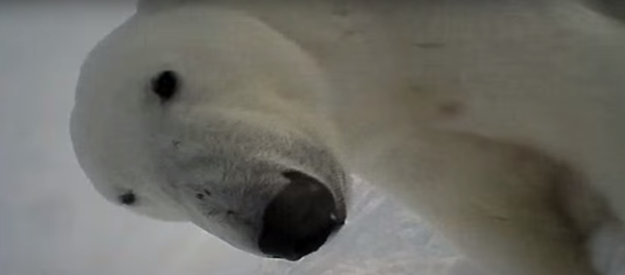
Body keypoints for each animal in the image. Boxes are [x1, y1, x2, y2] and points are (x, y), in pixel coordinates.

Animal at [70, 0, 624, 275]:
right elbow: (505, 222)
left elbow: (585, 97)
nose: (289, 219)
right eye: (131, 196)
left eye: (164, 82)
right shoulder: (410, 147)